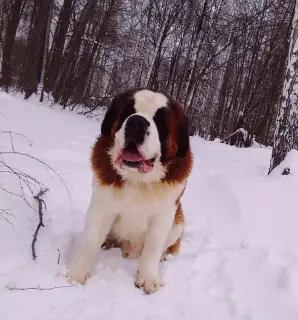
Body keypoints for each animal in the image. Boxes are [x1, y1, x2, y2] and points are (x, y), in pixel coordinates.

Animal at [67, 89, 193, 294]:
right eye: (128, 112)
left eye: (160, 121)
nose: (137, 122)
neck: (137, 181)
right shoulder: (102, 207)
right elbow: (91, 241)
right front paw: (76, 274)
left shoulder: (164, 214)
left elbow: (153, 247)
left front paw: (148, 278)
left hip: (178, 222)